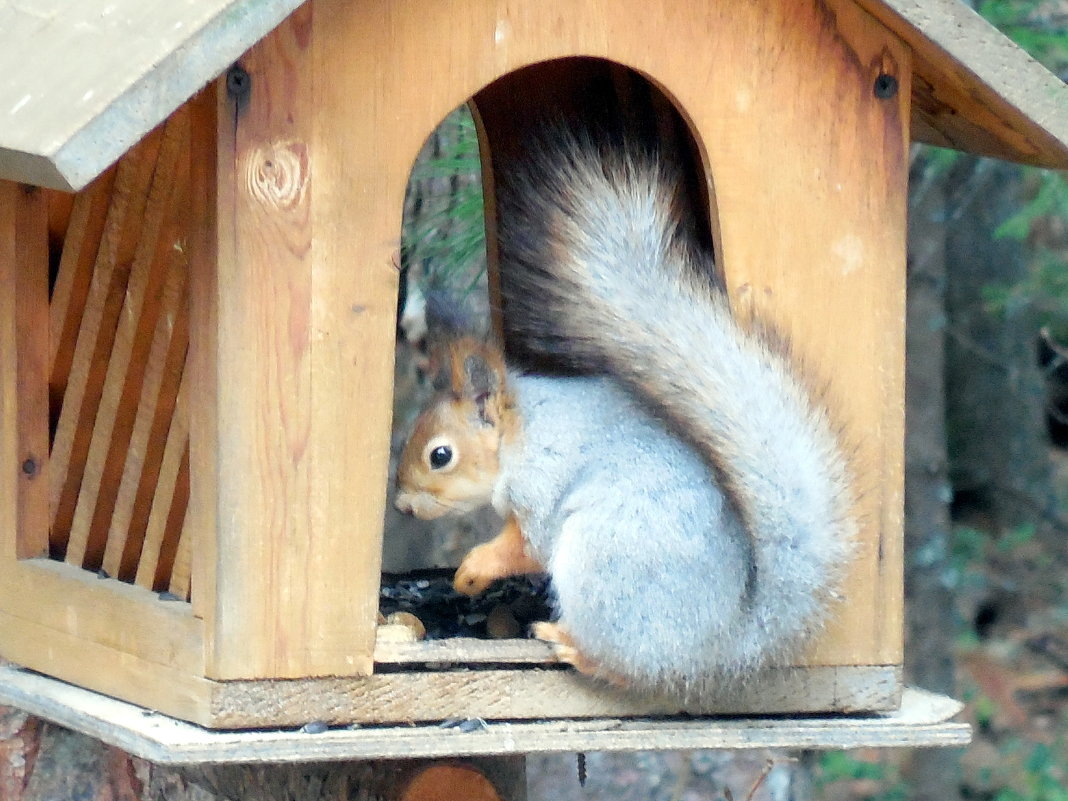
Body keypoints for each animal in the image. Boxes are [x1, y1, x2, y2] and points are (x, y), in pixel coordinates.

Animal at [395, 128, 858, 700]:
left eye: (441, 455)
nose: (402, 506)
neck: (525, 432)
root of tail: (725, 646)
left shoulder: (541, 486)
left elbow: (527, 546)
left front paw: (473, 570)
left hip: (601, 561)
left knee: (625, 664)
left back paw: (569, 643)